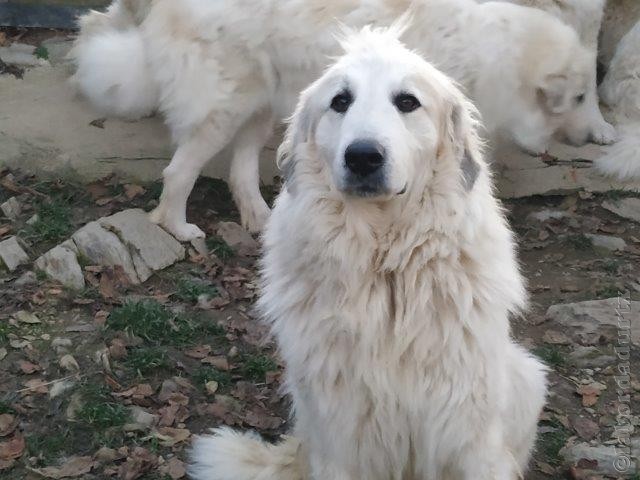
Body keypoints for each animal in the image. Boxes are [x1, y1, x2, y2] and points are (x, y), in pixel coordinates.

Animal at [74, 0, 596, 240]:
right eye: (579, 96)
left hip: (264, 107)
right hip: (224, 110)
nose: (594, 137)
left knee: (239, 171)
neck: (499, 56)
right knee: (179, 172)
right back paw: (176, 228)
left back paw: (261, 219)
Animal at [188, 27, 548, 480]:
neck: (385, 264)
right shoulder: (340, 439)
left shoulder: (469, 435)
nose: (362, 157)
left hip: (526, 378)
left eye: (407, 102)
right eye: (341, 101)